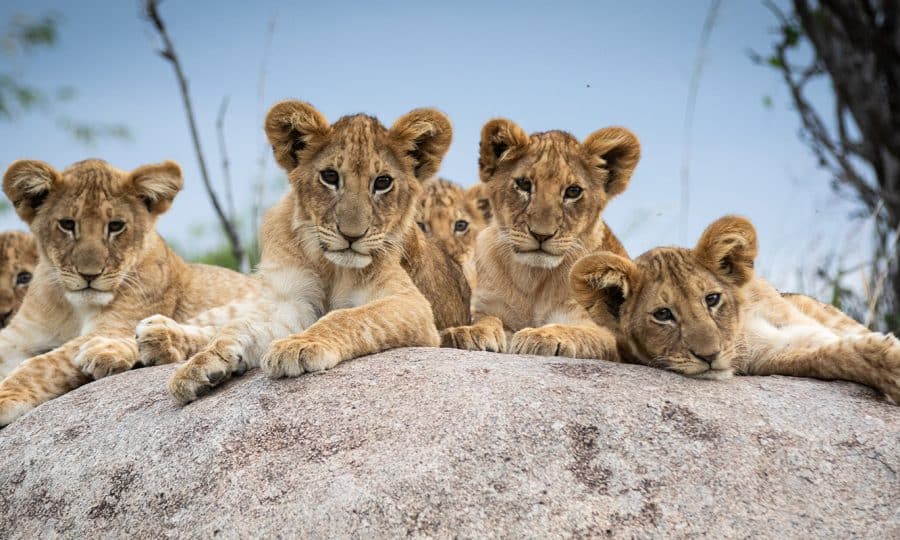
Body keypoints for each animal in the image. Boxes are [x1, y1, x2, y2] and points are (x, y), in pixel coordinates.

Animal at [0, 159, 260, 426]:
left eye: (115, 226)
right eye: (67, 224)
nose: (89, 275)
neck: (73, 307)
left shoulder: (115, 324)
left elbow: (43, 363)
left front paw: (4, 397)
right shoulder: (18, 335)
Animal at [136, 100, 469, 404]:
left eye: (383, 182)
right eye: (330, 177)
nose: (351, 235)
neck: (332, 266)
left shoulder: (413, 306)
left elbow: (347, 316)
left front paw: (298, 346)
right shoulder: (294, 301)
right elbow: (243, 326)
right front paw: (202, 364)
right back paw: (158, 336)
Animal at [440, 118, 640, 359]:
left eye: (573, 191)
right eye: (524, 184)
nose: (541, 234)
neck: (533, 278)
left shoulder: (602, 331)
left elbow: (577, 332)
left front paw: (541, 336)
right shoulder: (490, 306)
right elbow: (487, 320)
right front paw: (469, 332)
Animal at [570, 215, 900, 404]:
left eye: (712, 299)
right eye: (663, 315)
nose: (709, 356)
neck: (744, 325)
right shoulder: (774, 355)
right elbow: (833, 358)